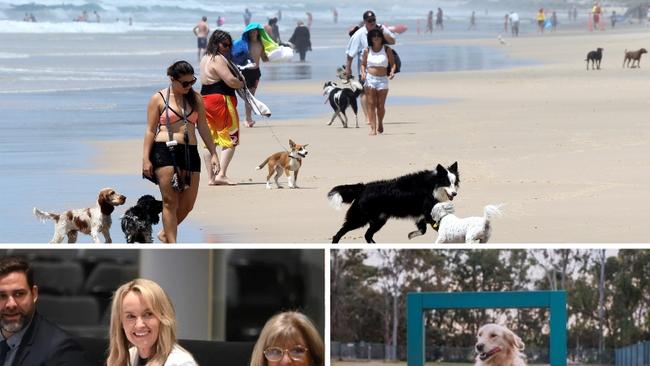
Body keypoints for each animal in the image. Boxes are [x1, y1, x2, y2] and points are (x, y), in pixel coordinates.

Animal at [326, 162, 458, 243]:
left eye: (454, 183)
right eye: (447, 183)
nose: (455, 193)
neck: (432, 185)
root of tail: (363, 187)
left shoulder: (421, 215)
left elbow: (423, 230)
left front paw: (411, 235)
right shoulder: (427, 212)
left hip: (379, 220)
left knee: (367, 235)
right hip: (360, 218)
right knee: (339, 233)